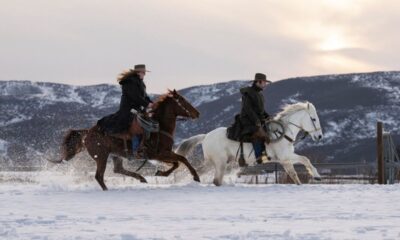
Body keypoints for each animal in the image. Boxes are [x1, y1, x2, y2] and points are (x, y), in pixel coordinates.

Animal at [54, 89, 200, 190]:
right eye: (182, 100)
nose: (197, 113)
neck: (160, 127)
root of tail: (88, 132)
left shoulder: (163, 154)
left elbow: (177, 163)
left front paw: (160, 173)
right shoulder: (160, 154)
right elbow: (182, 159)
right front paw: (196, 177)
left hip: (115, 155)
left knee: (118, 169)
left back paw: (142, 179)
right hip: (101, 156)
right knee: (99, 176)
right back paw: (107, 189)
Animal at [177, 101, 324, 186]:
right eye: (313, 119)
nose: (319, 136)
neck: (282, 133)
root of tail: (206, 136)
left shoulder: (286, 159)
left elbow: (296, 172)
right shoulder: (286, 157)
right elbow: (302, 162)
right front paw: (314, 177)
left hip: (213, 162)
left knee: (200, 171)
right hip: (220, 162)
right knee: (216, 180)